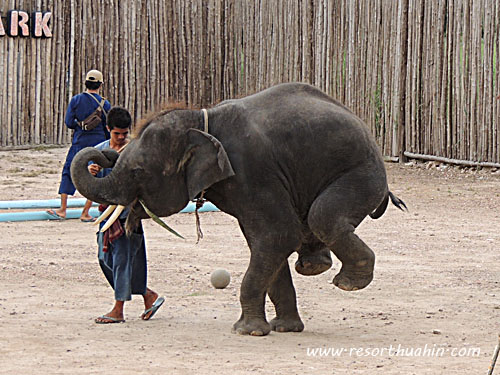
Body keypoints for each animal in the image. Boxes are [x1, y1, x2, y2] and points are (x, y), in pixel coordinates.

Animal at [70, 83, 406, 338]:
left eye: (138, 171)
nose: (104, 153)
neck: (202, 119)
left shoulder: (252, 171)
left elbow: (277, 235)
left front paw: (247, 331)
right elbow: (264, 243)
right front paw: (282, 328)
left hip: (363, 174)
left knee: (323, 216)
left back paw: (347, 282)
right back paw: (313, 266)